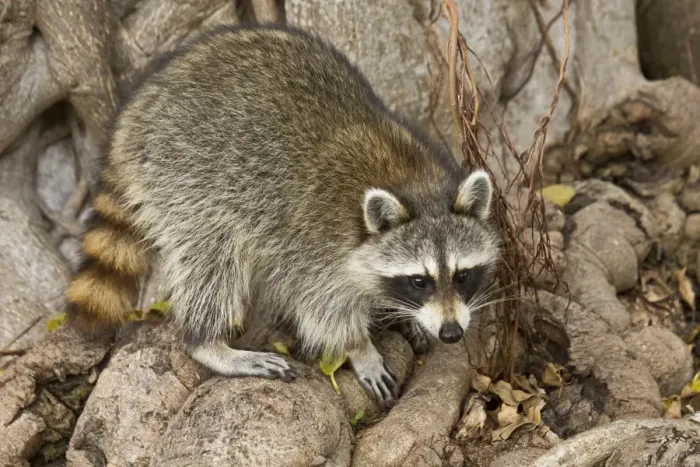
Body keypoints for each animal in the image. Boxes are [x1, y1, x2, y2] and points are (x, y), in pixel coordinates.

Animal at [65, 24, 500, 405]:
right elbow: (321, 310)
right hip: (183, 176)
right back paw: (208, 342)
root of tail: (132, 117)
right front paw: (360, 348)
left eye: (462, 276)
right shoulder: (314, 244)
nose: (451, 333)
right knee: (213, 261)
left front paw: (408, 316)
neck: (414, 186)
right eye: (419, 280)